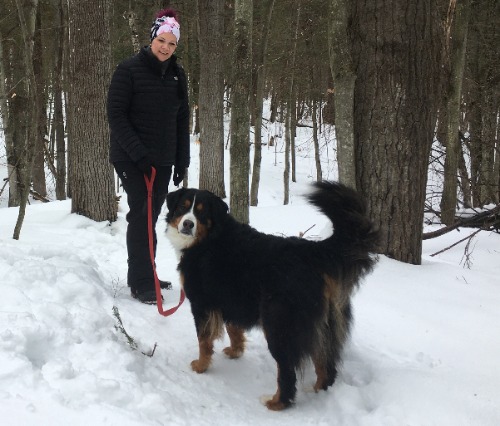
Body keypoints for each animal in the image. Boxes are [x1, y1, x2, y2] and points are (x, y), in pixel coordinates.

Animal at [166, 181, 376, 412]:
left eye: (201, 213)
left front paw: (201, 366)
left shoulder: (201, 302)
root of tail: (312, 252)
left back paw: (277, 402)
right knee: (325, 364)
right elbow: (234, 328)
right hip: (324, 326)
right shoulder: (232, 297)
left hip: (279, 325)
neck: (209, 237)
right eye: (183, 207)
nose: (187, 224)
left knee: (287, 371)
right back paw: (319, 390)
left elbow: (204, 340)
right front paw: (235, 351)